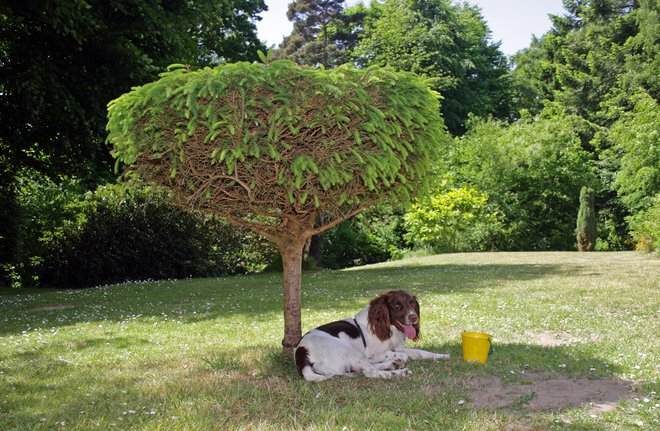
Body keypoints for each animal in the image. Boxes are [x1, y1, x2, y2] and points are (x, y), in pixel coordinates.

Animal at [294, 290, 448, 382]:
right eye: (397, 306)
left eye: (412, 304)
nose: (414, 317)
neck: (387, 328)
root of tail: (301, 353)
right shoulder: (372, 353)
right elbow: (394, 354)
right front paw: (397, 359)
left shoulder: (399, 347)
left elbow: (420, 352)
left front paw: (441, 356)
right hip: (348, 350)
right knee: (370, 371)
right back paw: (399, 371)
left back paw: (394, 364)